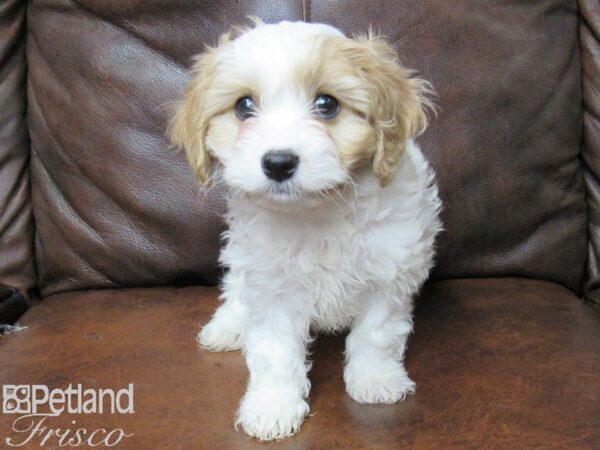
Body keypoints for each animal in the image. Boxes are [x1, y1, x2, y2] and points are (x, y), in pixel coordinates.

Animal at [169, 20, 440, 440]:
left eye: (327, 104)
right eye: (244, 106)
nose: (279, 162)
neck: (317, 212)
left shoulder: (389, 273)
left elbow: (376, 334)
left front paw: (375, 380)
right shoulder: (271, 288)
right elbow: (275, 352)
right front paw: (272, 407)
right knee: (235, 291)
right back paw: (226, 327)